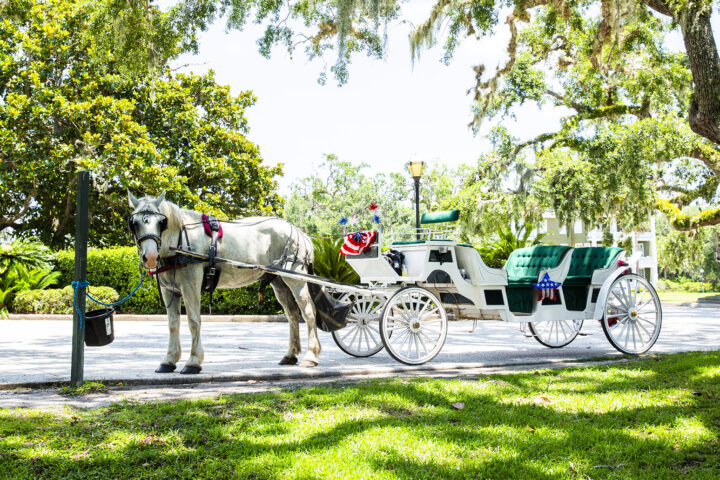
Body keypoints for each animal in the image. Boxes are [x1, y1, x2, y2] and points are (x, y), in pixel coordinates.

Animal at [128, 190, 322, 372]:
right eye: (134, 223)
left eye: (161, 222)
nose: (150, 257)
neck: (180, 241)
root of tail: (299, 232)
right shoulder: (169, 290)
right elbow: (173, 324)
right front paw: (169, 360)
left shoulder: (190, 285)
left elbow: (193, 321)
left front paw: (193, 362)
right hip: (279, 282)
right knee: (292, 314)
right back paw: (290, 355)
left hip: (295, 278)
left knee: (308, 312)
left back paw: (311, 355)